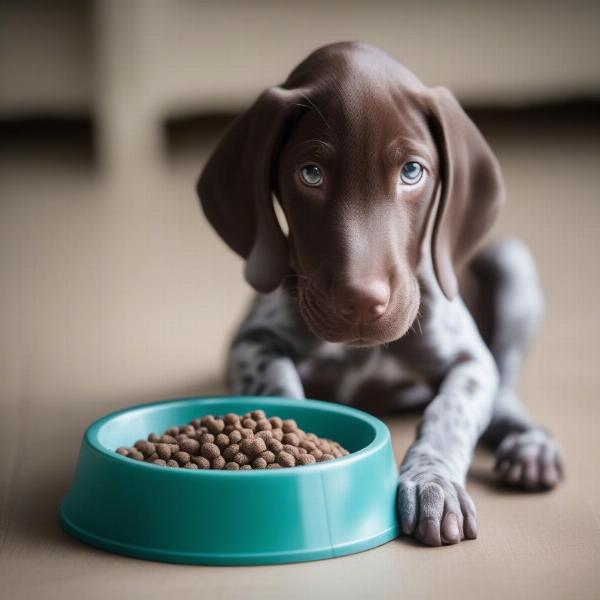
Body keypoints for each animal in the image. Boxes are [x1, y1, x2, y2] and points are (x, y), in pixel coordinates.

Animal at [197, 41, 564, 548]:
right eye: (310, 174)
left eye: (412, 172)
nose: (363, 302)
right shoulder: (251, 342)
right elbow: (280, 388)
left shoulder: (469, 360)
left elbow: (449, 413)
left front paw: (433, 481)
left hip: (514, 265)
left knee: (504, 380)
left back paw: (531, 443)